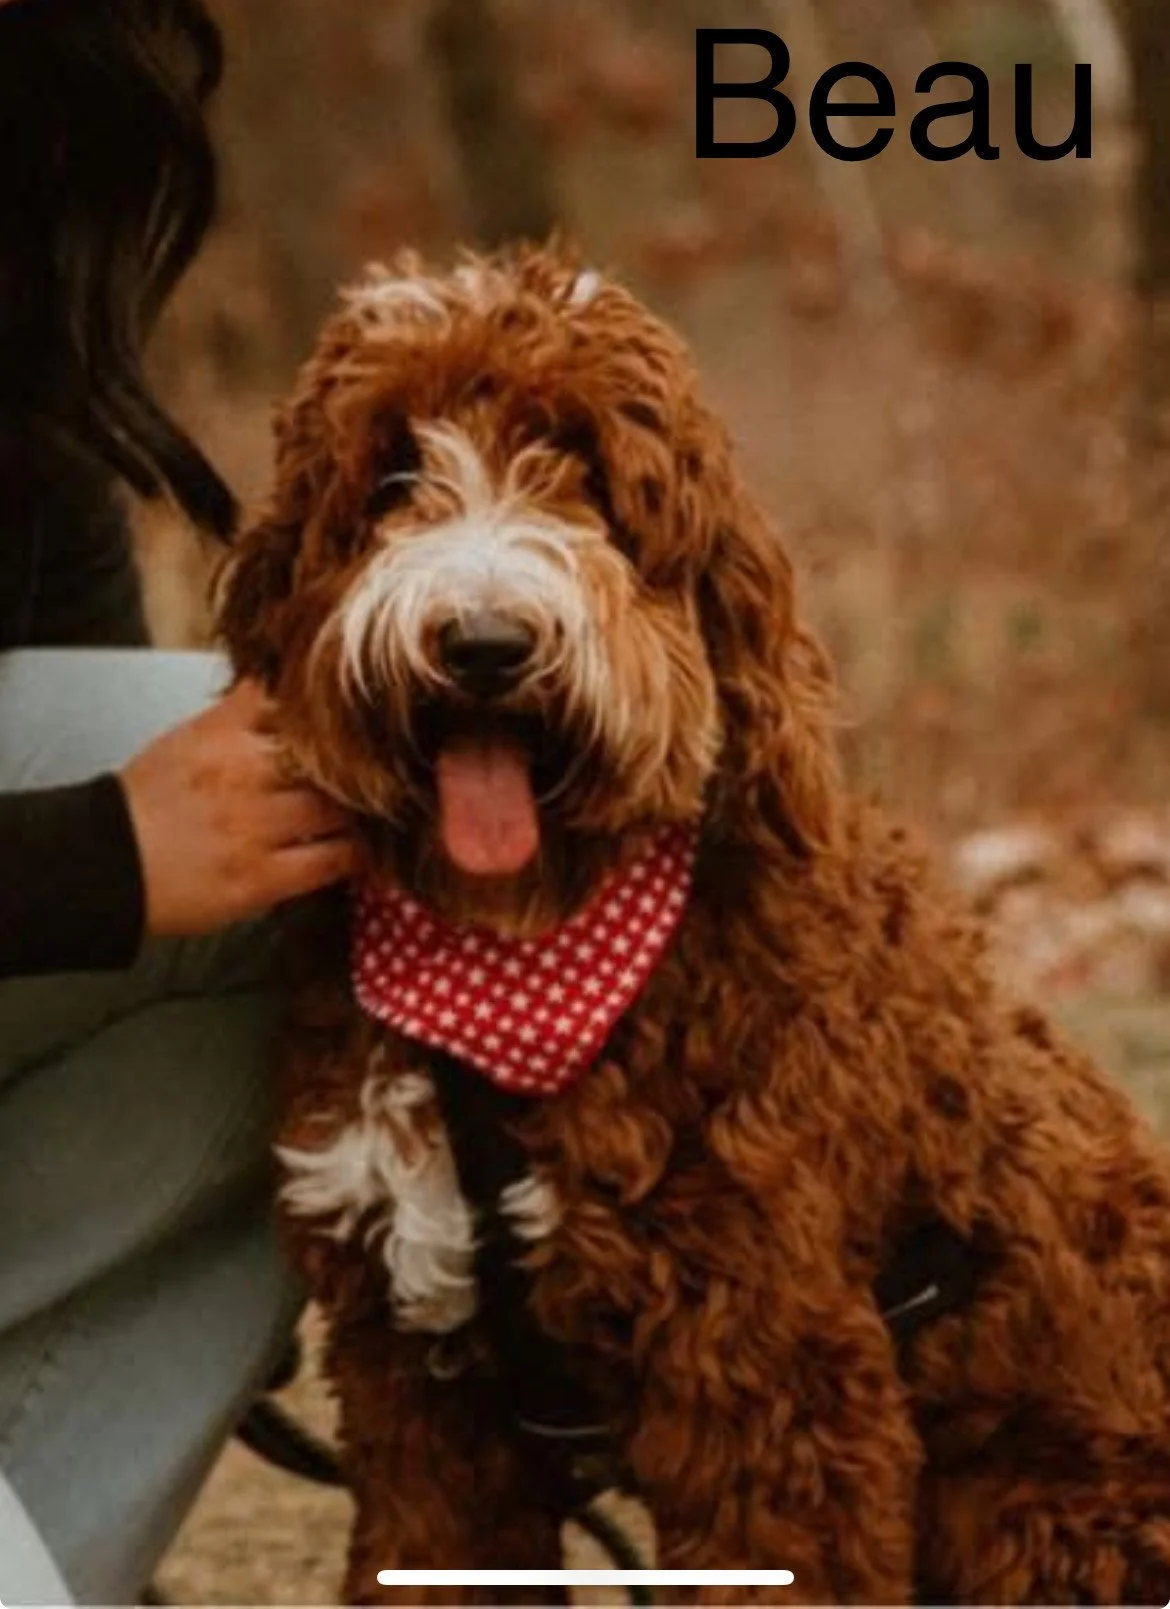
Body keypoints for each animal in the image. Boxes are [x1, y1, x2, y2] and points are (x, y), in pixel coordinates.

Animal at [219, 245, 1170, 1605]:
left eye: (589, 475)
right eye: (395, 470)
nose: (485, 641)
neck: (518, 950)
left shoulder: (766, 1377)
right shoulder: (416, 1376)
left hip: (1043, 1514)